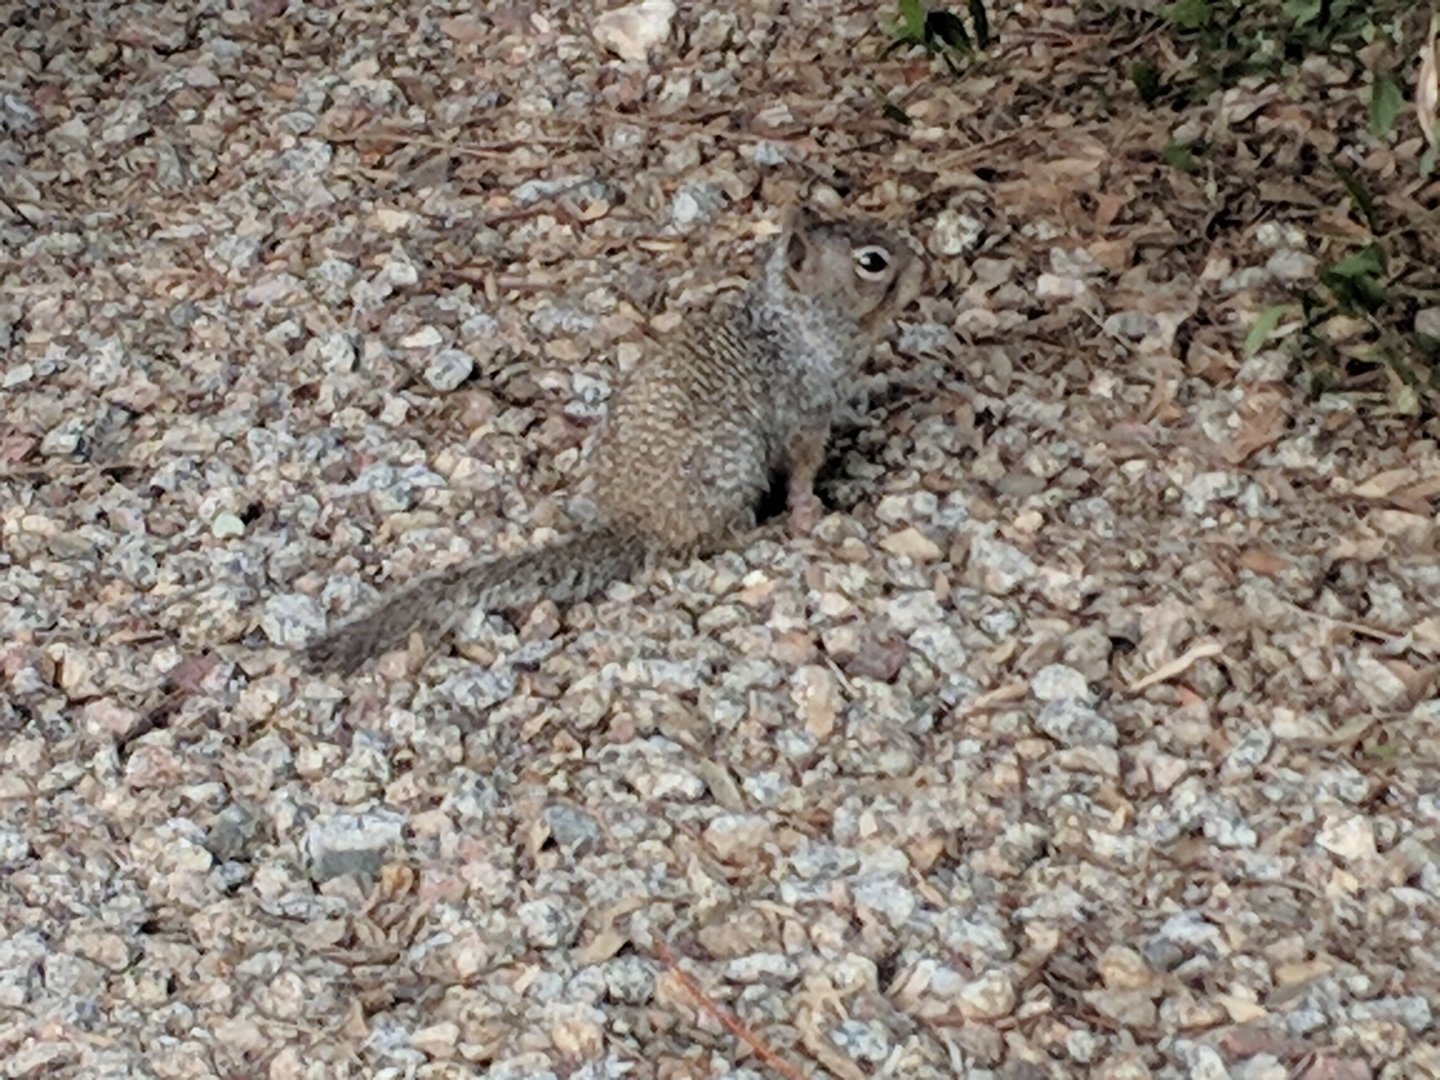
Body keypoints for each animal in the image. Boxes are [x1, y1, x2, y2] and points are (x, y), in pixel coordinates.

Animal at [302, 204, 925, 674]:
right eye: (872, 262)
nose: (924, 266)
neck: (797, 325)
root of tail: (633, 520)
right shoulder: (804, 412)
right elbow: (801, 469)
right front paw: (809, 511)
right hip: (729, 467)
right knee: (707, 538)